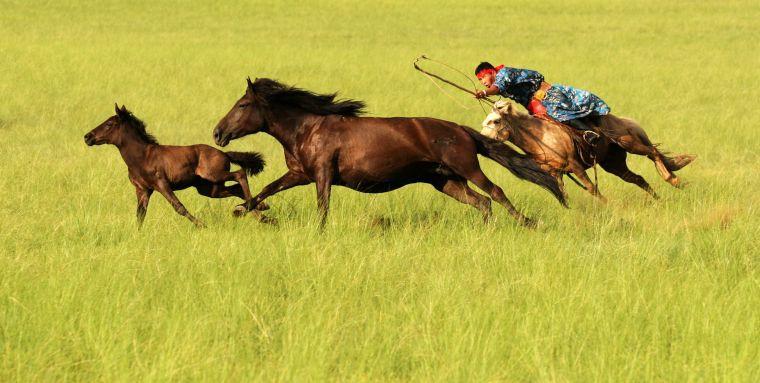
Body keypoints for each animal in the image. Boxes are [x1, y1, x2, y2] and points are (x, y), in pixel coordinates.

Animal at [85, 104, 268, 228]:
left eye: (109, 124)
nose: (87, 137)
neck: (142, 157)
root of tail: (224, 154)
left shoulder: (161, 184)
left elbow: (178, 207)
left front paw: (202, 225)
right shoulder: (143, 190)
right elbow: (140, 214)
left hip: (214, 176)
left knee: (240, 174)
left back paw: (258, 210)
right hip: (209, 188)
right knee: (235, 188)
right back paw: (261, 211)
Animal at [211, 77, 568, 228]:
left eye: (242, 105)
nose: (217, 133)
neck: (307, 128)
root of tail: (460, 129)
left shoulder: (322, 174)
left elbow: (322, 207)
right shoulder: (300, 173)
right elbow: (268, 188)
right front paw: (246, 210)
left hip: (467, 168)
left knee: (495, 192)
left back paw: (528, 223)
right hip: (446, 181)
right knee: (481, 202)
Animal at [480, 100, 696, 202]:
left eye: (495, 121)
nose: (481, 137)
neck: (541, 137)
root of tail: (622, 120)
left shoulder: (575, 166)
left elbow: (592, 188)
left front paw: (607, 204)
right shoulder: (555, 172)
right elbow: (564, 193)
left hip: (629, 143)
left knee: (653, 152)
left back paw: (673, 179)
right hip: (613, 163)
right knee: (637, 178)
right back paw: (659, 198)